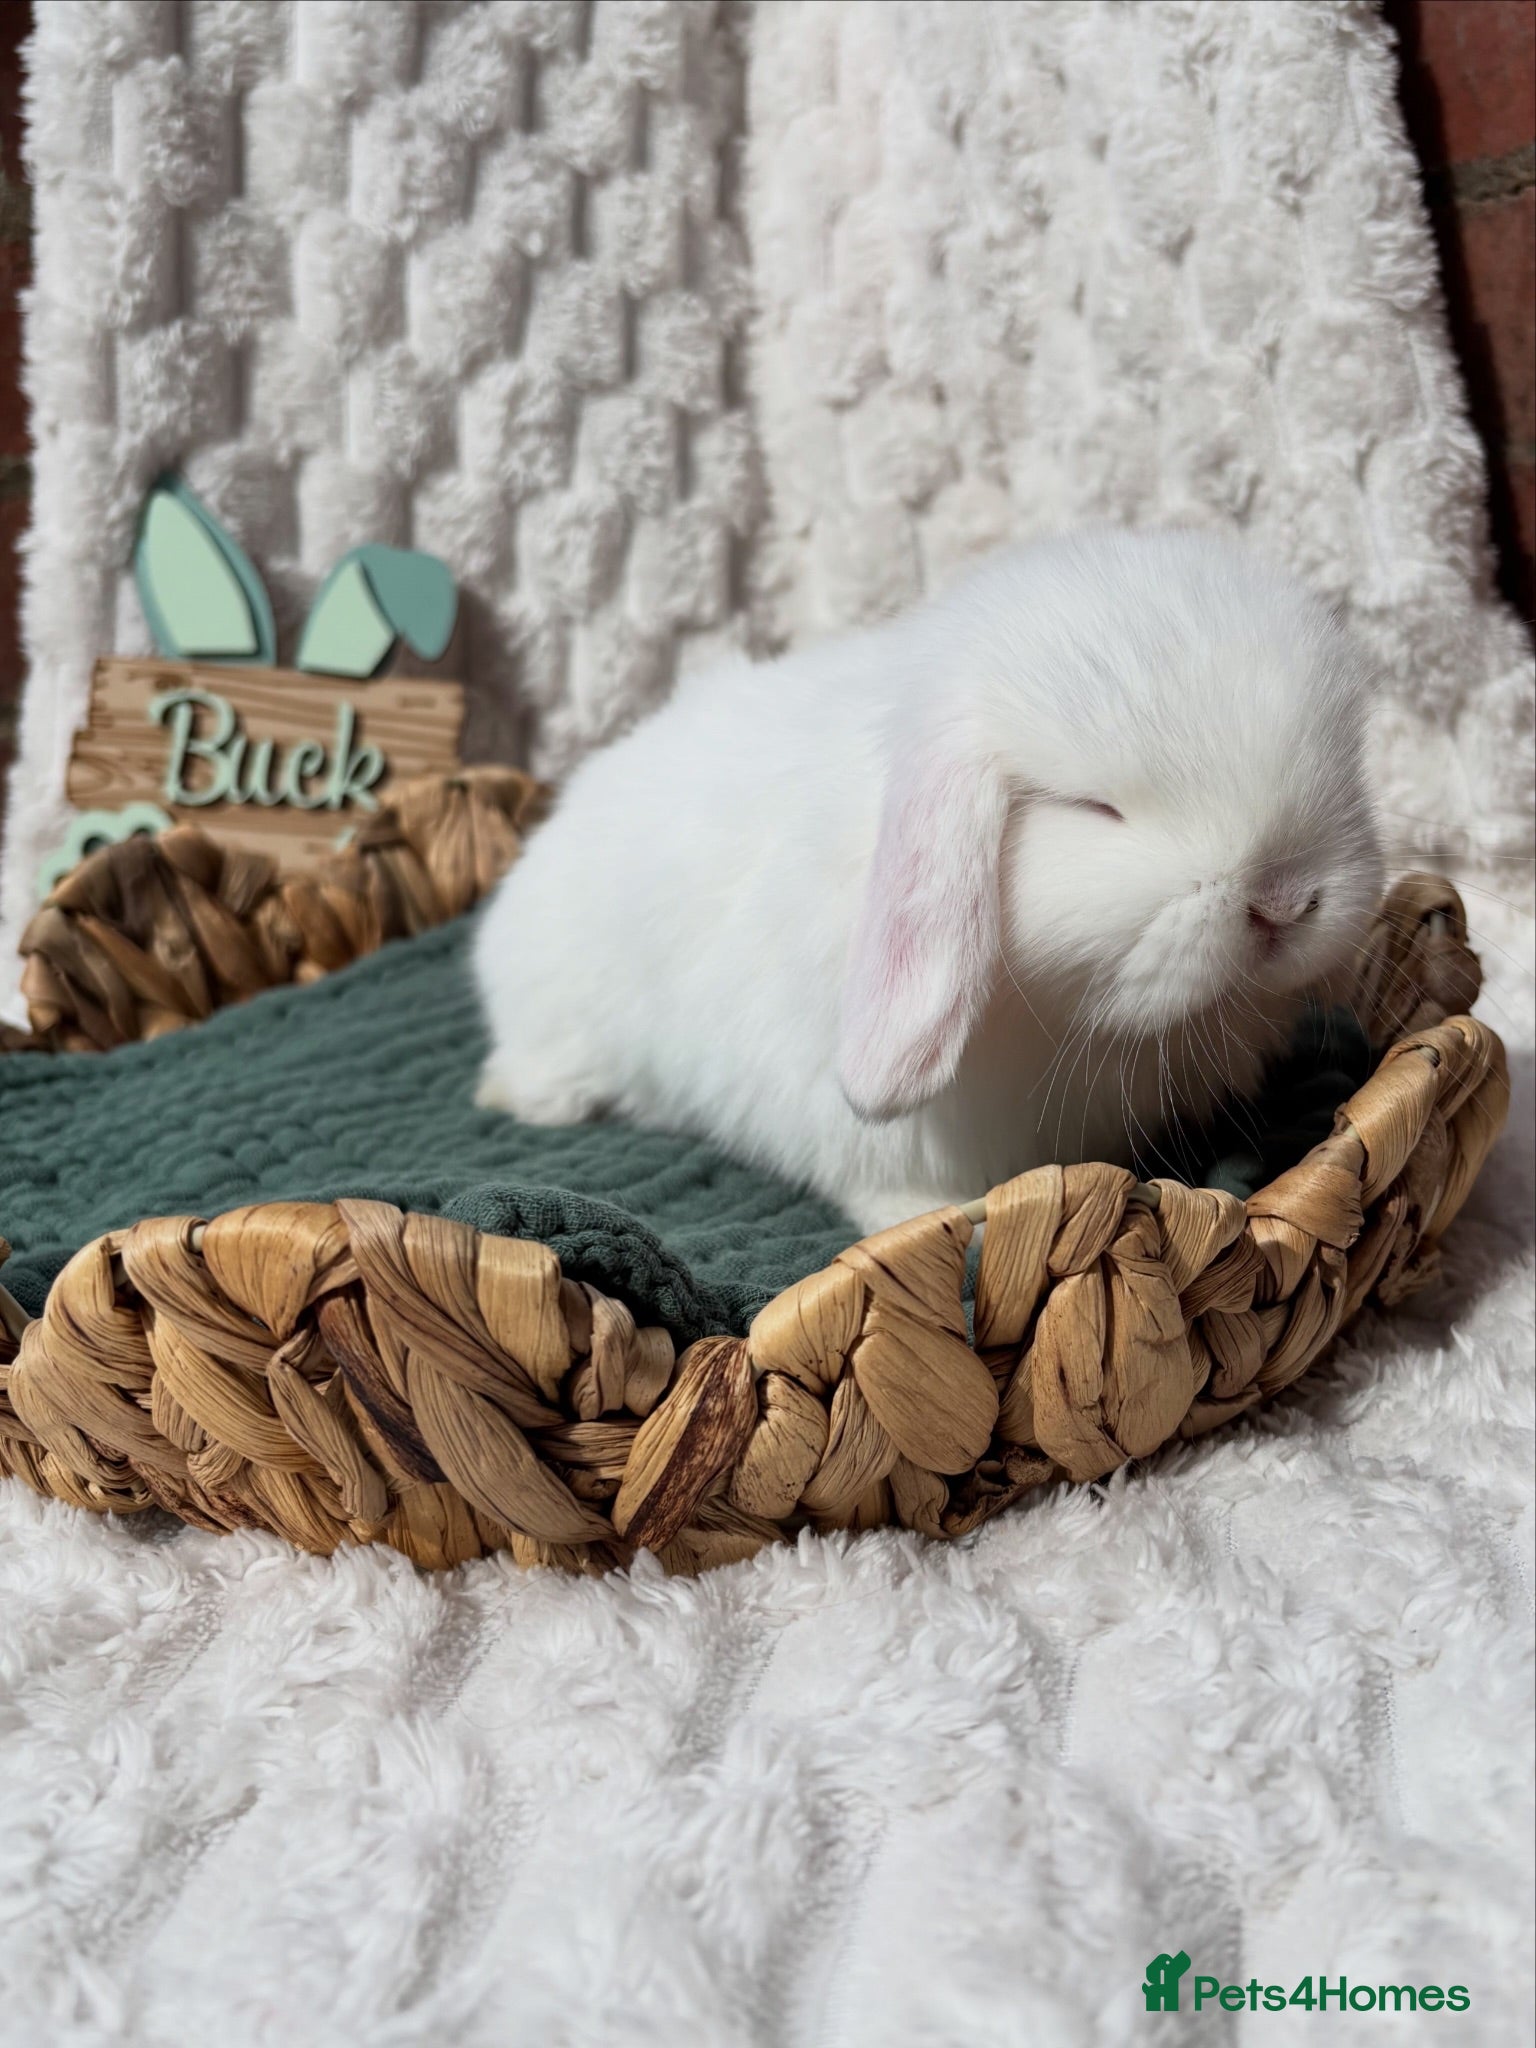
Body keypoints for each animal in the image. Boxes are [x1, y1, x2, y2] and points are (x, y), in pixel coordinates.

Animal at [473, 530, 1383, 1233]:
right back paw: (513, 1094)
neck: (1058, 1021)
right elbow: (891, 1188)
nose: (1283, 904)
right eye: (1096, 809)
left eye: (1351, 764)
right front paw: (942, 1222)